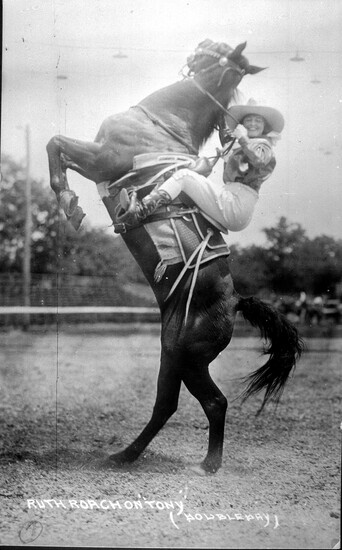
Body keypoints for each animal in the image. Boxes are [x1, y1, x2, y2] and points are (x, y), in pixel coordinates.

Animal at [46, 40, 302, 474]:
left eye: (215, 49)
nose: (197, 50)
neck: (161, 124)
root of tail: (236, 302)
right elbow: (57, 148)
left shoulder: (101, 157)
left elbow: (55, 145)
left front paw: (69, 202)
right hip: (170, 353)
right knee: (166, 405)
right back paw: (123, 456)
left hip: (189, 359)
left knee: (213, 402)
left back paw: (208, 465)